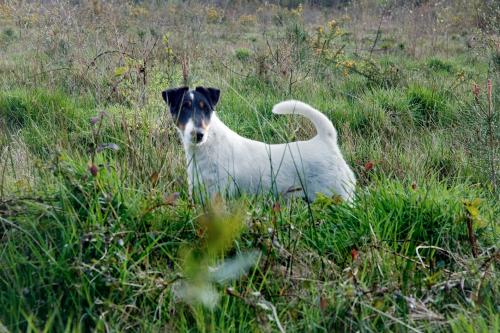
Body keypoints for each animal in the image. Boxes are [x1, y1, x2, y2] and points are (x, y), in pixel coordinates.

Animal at [161, 85, 356, 201]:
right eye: (183, 107)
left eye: (206, 109)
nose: (198, 134)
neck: (206, 147)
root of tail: (327, 140)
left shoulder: (218, 194)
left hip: (337, 195)